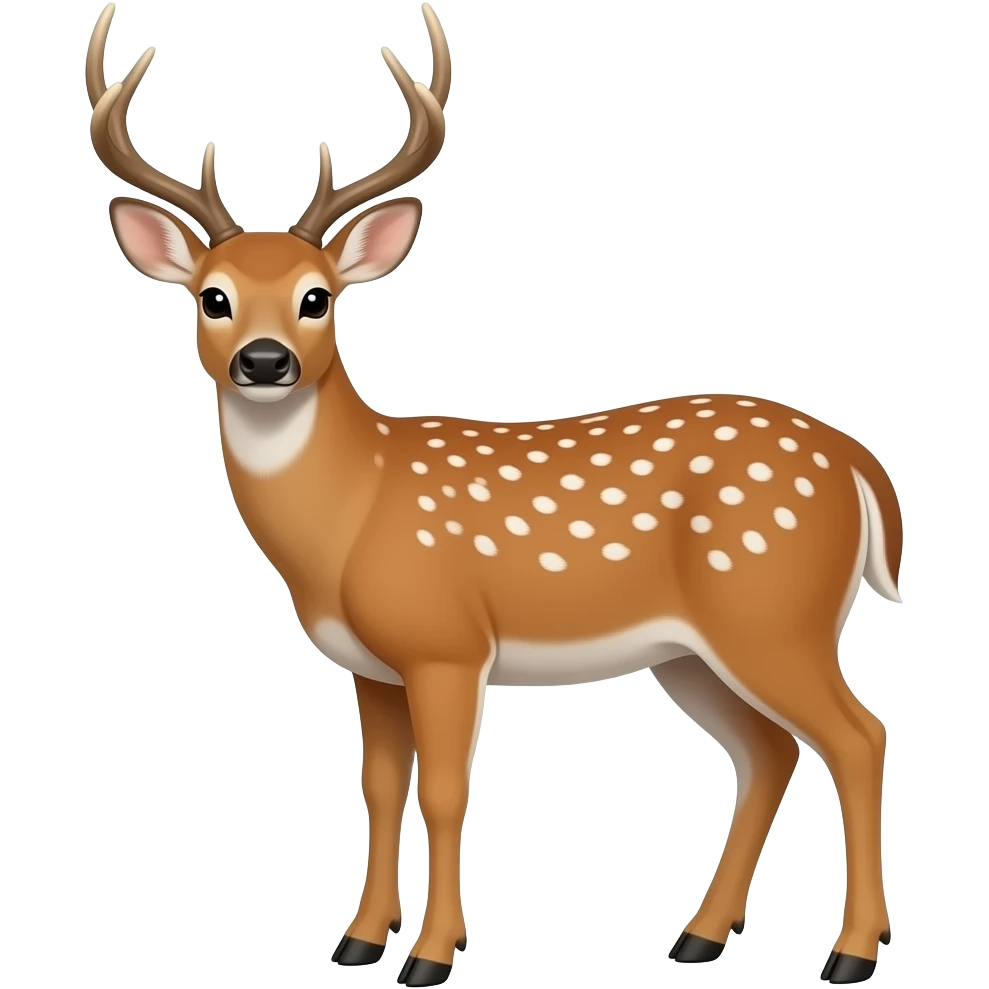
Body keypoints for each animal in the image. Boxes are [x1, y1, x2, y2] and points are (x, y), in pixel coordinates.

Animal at [86, 2, 902, 985]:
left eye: (319, 298)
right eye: (212, 297)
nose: (265, 360)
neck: (350, 513)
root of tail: (855, 459)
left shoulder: (446, 642)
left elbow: (442, 792)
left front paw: (431, 954)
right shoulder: (371, 664)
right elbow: (378, 788)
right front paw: (358, 940)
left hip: (774, 609)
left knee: (858, 736)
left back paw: (848, 953)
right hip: (692, 650)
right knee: (770, 749)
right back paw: (697, 936)